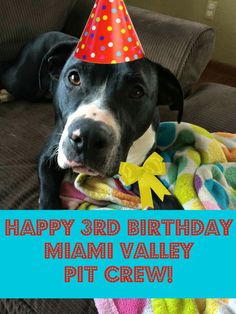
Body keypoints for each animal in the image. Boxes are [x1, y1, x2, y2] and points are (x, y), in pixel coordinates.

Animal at [0, 31, 184, 210]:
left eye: (137, 92)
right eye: (74, 78)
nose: (87, 137)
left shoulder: (140, 167)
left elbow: (160, 193)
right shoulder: (48, 156)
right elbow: (48, 196)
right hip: (22, 82)